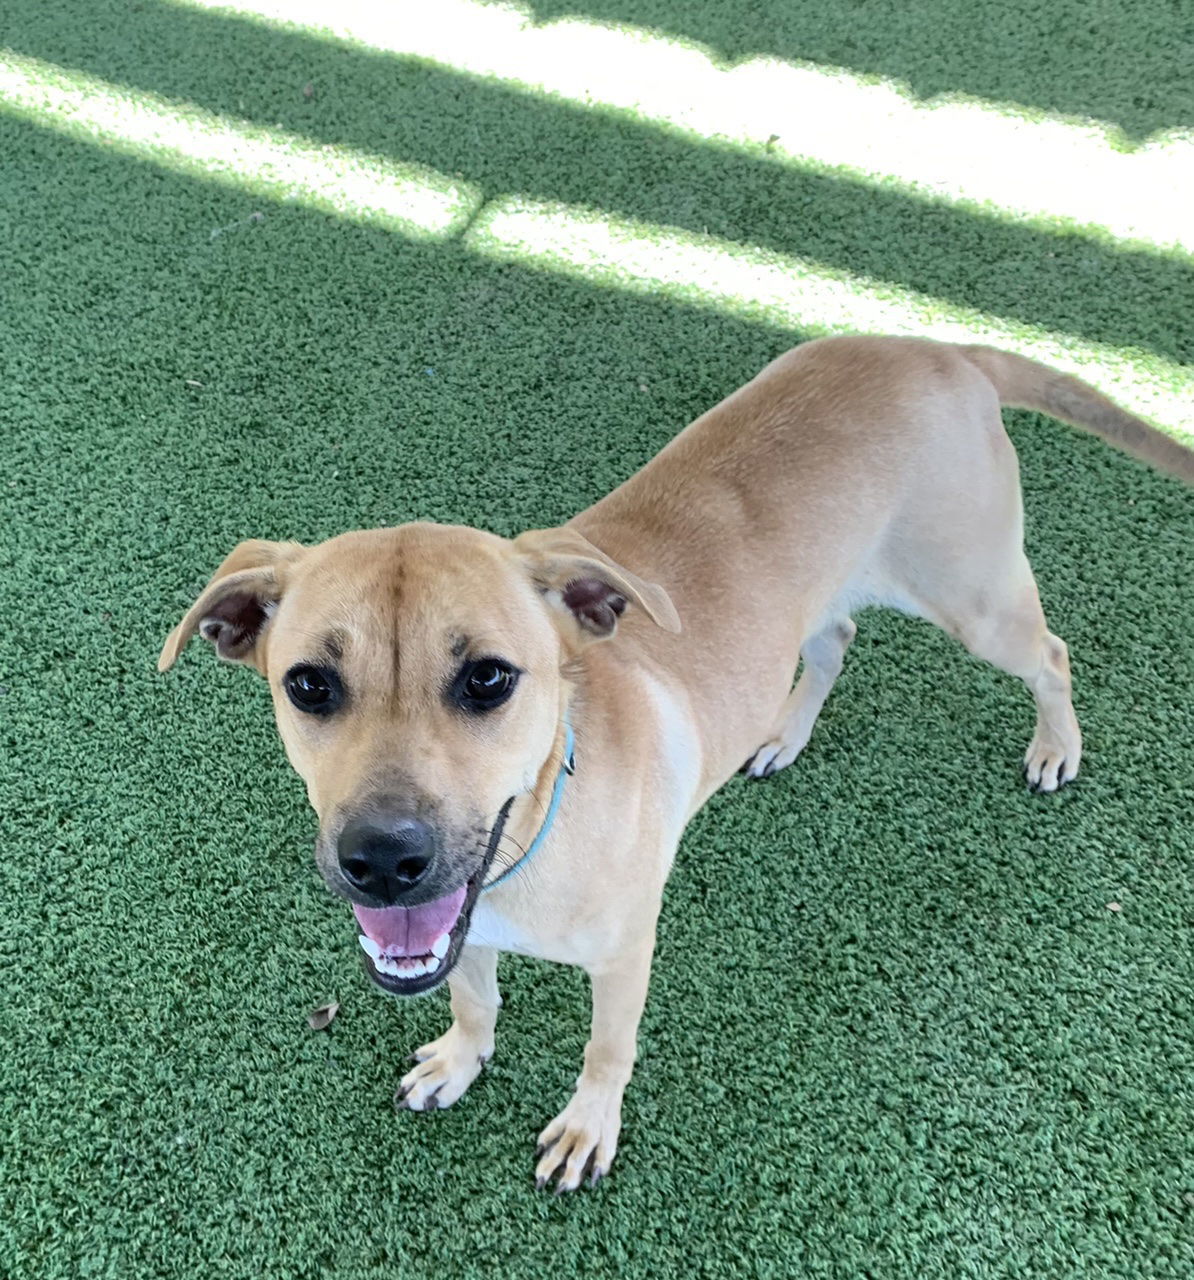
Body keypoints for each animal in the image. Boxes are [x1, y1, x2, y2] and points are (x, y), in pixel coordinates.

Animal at [158, 332, 1192, 1187]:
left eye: (490, 679)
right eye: (307, 684)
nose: (382, 860)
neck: (543, 827)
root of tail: (936, 346)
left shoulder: (625, 957)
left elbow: (605, 1053)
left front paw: (587, 1129)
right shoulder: (463, 926)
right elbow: (475, 999)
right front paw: (458, 1059)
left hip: (975, 597)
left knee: (1051, 655)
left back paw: (1056, 747)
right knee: (836, 637)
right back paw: (782, 734)